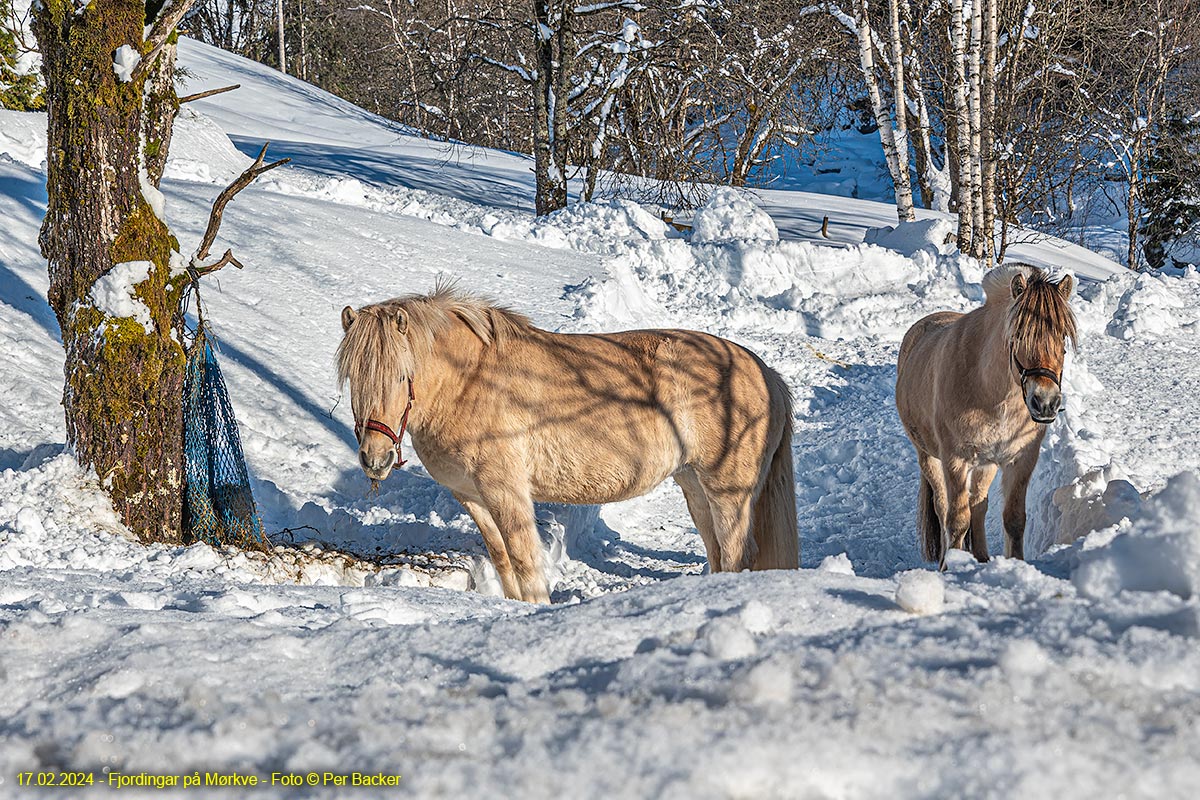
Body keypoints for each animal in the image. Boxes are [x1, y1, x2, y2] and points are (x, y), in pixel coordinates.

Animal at [338, 286, 801, 599]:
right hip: (695, 487)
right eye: (353, 377)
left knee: (738, 552)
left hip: (729, 493)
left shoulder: (507, 491)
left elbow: (525, 559)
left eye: (402, 375)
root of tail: (766, 374)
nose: (375, 459)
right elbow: (502, 558)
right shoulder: (470, 495)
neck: (469, 381)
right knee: (718, 550)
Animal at [892, 266, 1080, 566]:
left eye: (1061, 335)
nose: (1045, 402)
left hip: (986, 463)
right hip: (929, 457)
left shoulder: (1020, 460)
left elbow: (1013, 520)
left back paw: (981, 557)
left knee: (978, 505)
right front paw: (950, 567)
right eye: (1018, 334)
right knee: (943, 507)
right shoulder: (955, 460)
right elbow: (956, 520)